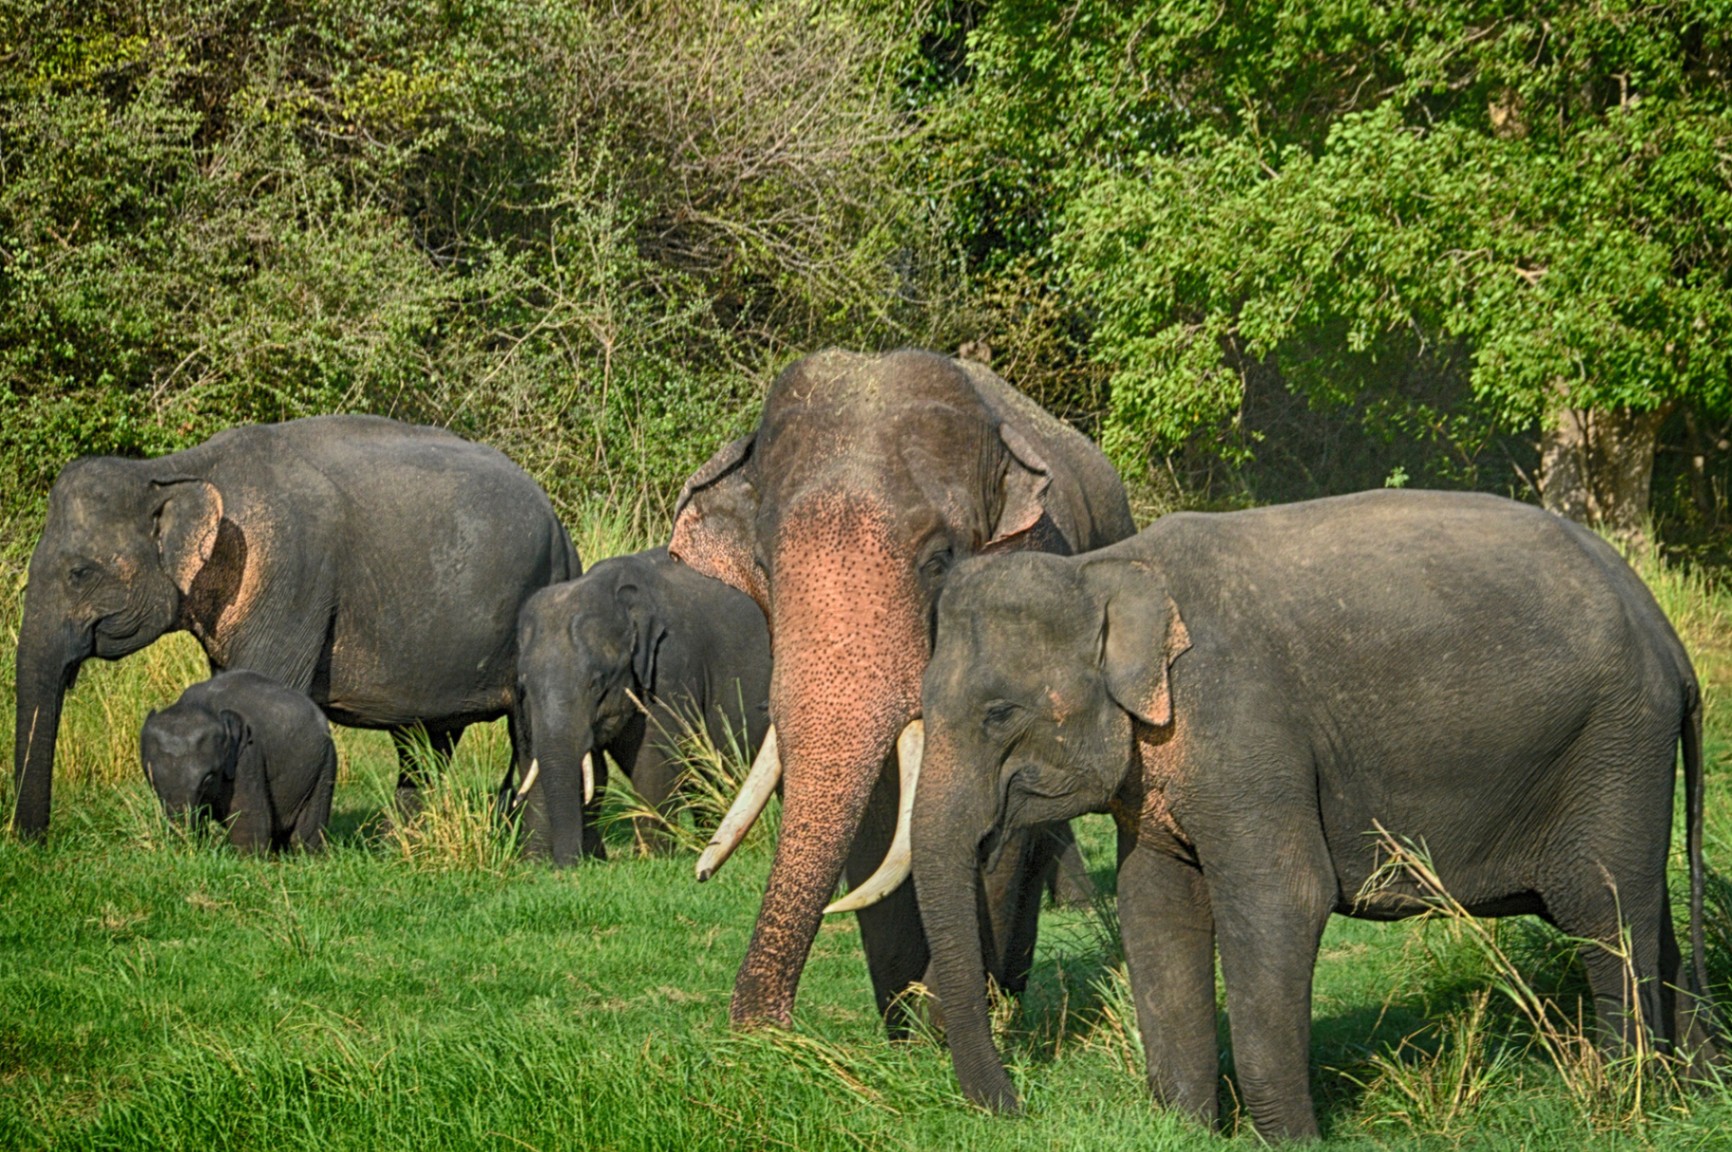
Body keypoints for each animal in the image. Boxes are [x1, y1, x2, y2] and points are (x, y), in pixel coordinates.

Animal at [140, 670, 337, 852]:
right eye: (151, 779)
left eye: (208, 780)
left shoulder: (247, 758)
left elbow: (248, 817)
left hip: (324, 764)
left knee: (307, 832)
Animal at [508, 546, 773, 862]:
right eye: (525, 685)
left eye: (596, 682)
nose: (565, 866)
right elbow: (594, 769)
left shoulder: (670, 664)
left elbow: (654, 758)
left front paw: (651, 858)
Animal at [670, 347, 1132, 1033]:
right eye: (762, 565)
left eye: (940, 560)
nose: (768, 1031)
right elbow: (877, 824)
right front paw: (903, 1028)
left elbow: (991, 822)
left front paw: (943, 1025)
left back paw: (1010, 994)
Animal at [894, 488, 1717, 1141]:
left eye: (999, 714)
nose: (1018, 1106)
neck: (1109, 569)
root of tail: (1670, 643)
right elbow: (1155, 905)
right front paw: (1187, 1130)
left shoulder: (1245, 726)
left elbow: (1279, 902)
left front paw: (1288, 1140)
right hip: (1626, 761)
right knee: (1648, 912)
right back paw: (1698, 1089)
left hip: (1613, 745)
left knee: (1604, 913)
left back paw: (1621, 1101)